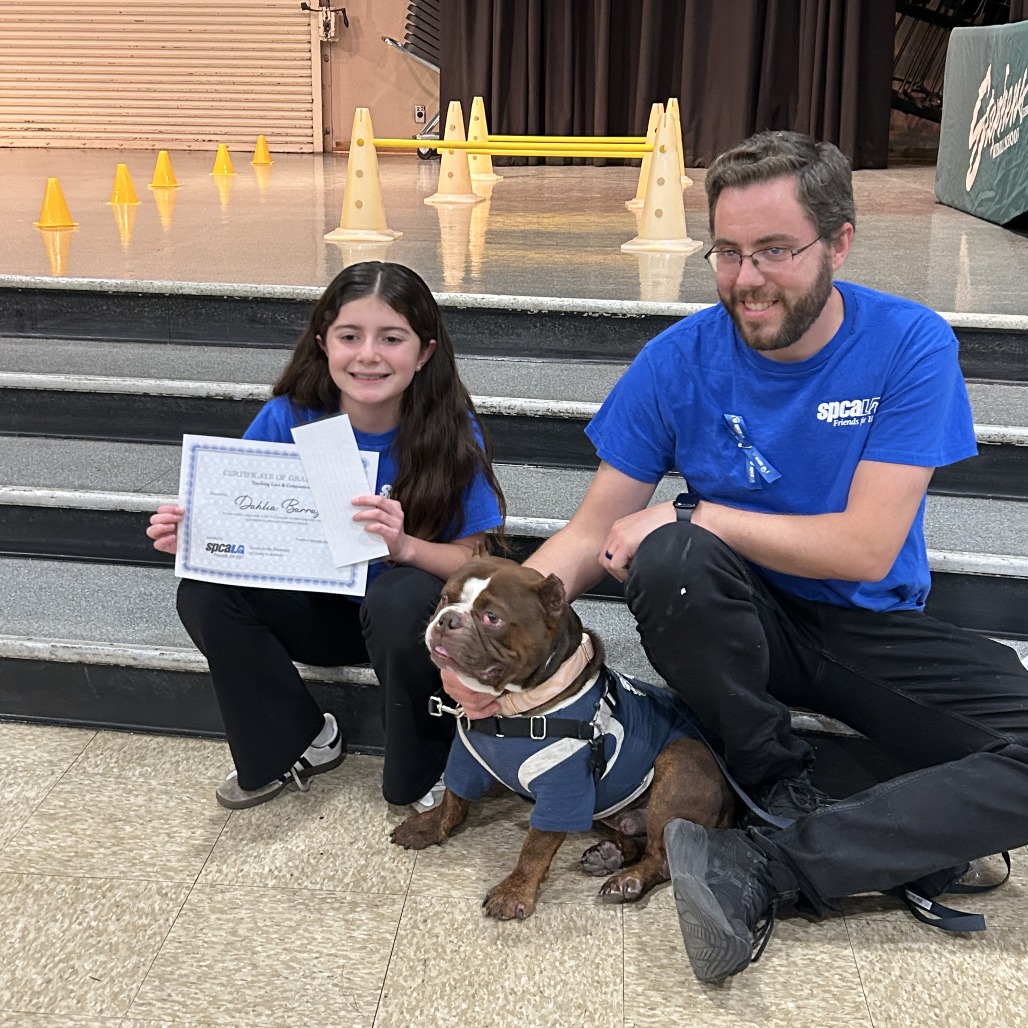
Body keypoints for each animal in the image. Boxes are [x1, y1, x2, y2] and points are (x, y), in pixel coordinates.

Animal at [390, 556, 736, 920]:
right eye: (445, 598)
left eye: (492, 617)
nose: (447, 618)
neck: (513, 708)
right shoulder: (466, 759)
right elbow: (454, 800)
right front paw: (430, 827)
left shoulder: (562, 787)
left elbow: (536, 845)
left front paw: (514, 891)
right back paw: (608, 856)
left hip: (680, 761)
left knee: (662, 856)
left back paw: (629, 880)